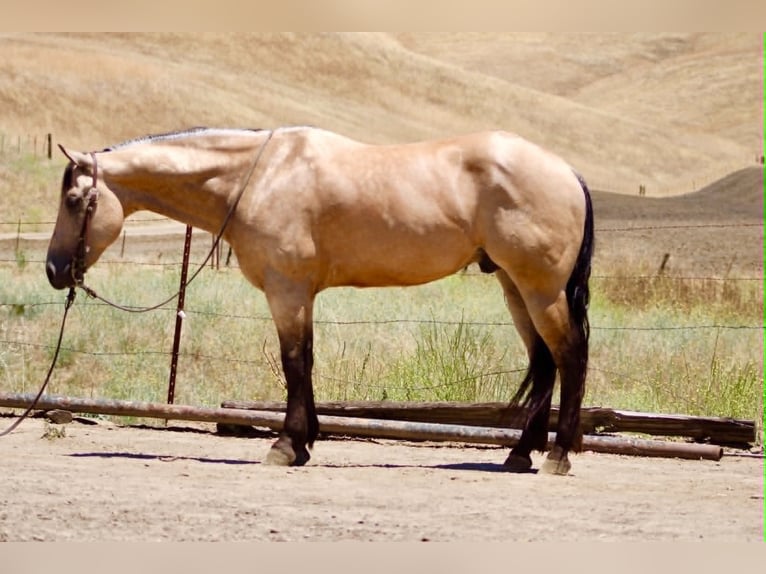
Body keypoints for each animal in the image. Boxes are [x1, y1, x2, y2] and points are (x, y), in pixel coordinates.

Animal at [46, 126, 594, 475]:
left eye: (73, 201)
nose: (54, 271)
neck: (259, 177)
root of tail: (567, 171)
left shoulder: (286, 290)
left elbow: (293, 363)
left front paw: (286, 446)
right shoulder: (301, 294)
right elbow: (306, 362)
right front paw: (306, 442)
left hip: (539, 289)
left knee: (570, 357)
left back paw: (558, 457)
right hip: (515, 287)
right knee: (545, 363)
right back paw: (520, 456)